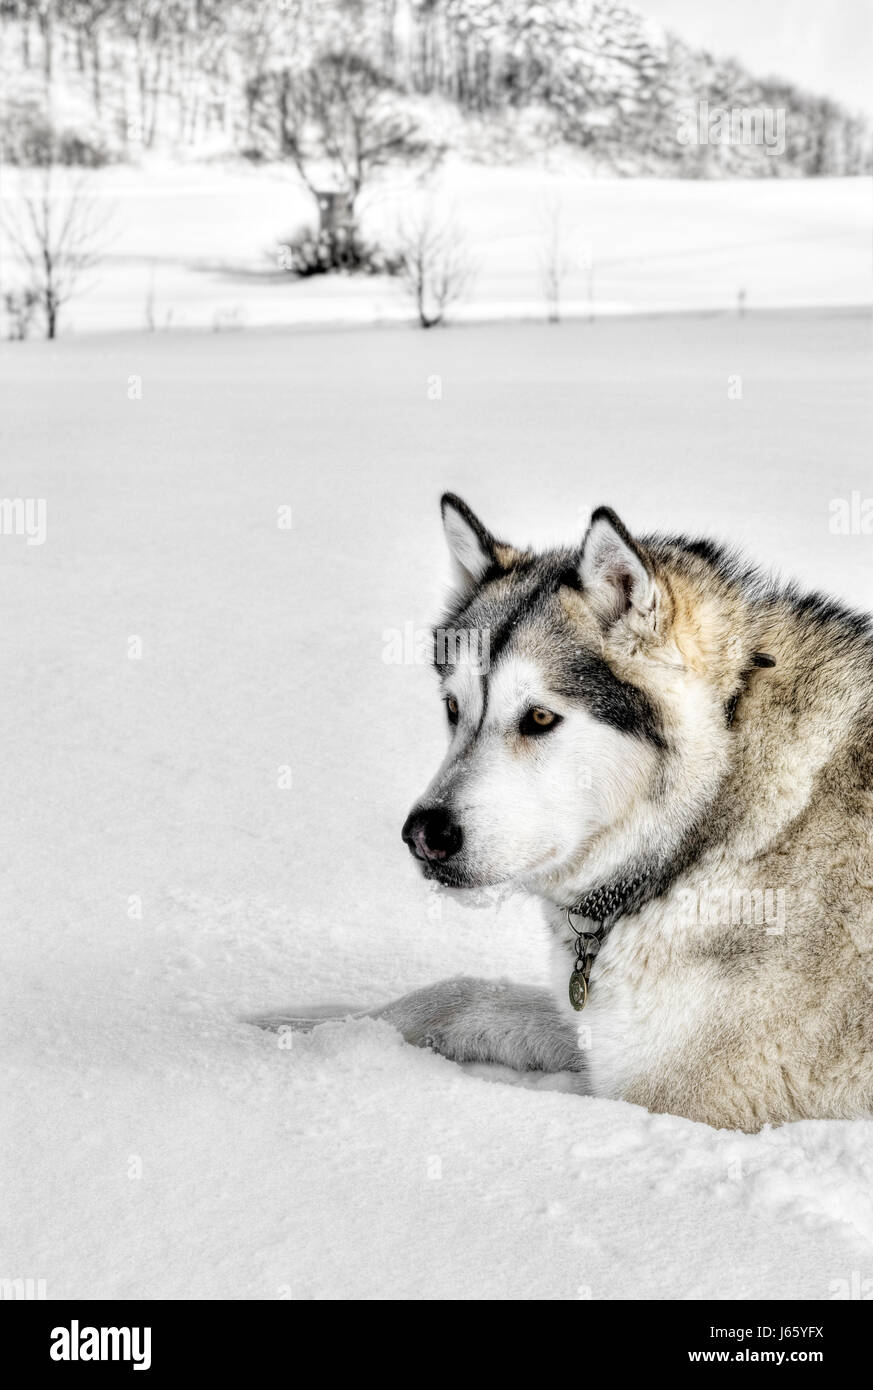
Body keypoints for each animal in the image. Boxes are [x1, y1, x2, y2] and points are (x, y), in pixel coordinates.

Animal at [262, 497, 873, 1128]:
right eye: (454, 708)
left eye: (538, 718)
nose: (424, 835)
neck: (706, 831)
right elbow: (461, 994)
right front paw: (307, 1027)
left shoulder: (676, 1099)